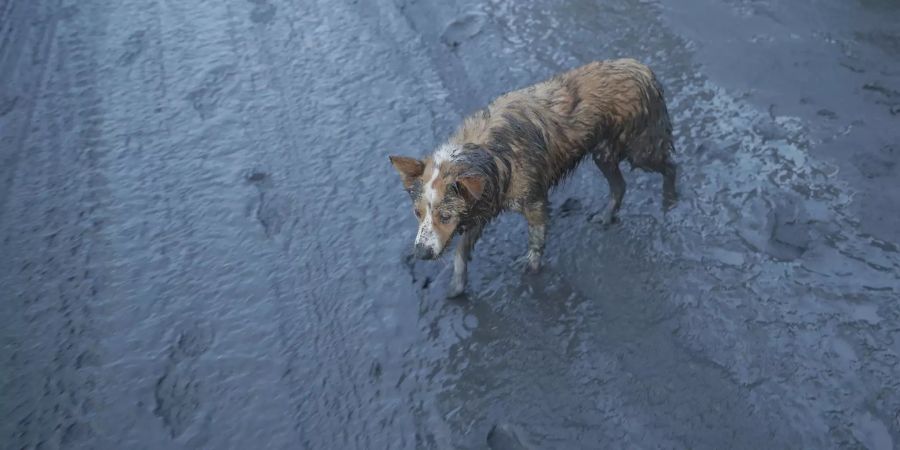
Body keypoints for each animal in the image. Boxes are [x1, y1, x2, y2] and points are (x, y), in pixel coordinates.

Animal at [386, 59, 676, 298]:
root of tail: (642, 68)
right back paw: (607, 216)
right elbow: (460, 253)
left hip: (640, 149)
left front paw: (532, 268)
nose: (420, 254)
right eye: (417, 213)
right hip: (603, 154)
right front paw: (457, 287)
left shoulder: (535, 202)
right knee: (620, 185)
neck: (486, 153)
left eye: (445, 217)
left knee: (671, 166)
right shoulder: (481, 210)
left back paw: (670, 200)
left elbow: (536, 241)